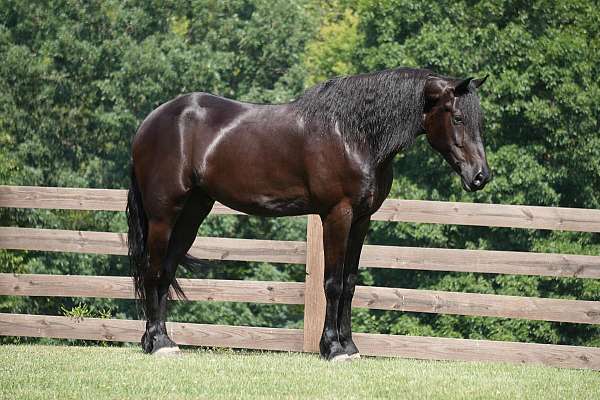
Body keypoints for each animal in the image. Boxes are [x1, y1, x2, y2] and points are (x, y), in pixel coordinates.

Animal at [126, 65, 488, 360]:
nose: (480, 176)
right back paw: (157, 343)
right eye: (458, 118)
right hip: (163, 215)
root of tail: (149, 123)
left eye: (478, 121)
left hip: (192, 213)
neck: (353, 134)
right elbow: (333, 283)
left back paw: (163, 340)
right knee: (153, 271)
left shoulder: (361, 220)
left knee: (166, 271)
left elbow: (350, 282)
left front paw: (350, 346)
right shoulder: (337, 214)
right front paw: (332, 348)